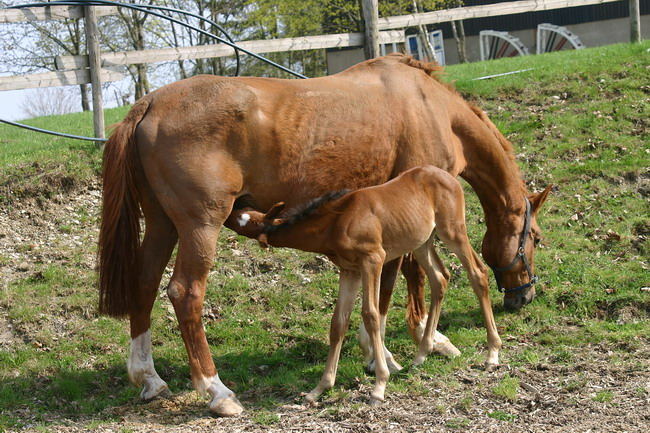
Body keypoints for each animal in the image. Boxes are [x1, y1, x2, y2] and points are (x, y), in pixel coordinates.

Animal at [225, 164, 498, 404]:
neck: (335, 222)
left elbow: (371, 314)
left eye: (242, 220)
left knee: (478, 274)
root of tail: (449, 177)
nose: (229, 208)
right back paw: (422, 354)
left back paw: (492, 353)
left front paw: (379, 385)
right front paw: (320, 388)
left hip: (453, 231)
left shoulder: (373, 261)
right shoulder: (350, 270)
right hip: (422, 241)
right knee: (439, 278)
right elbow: (338, 323)